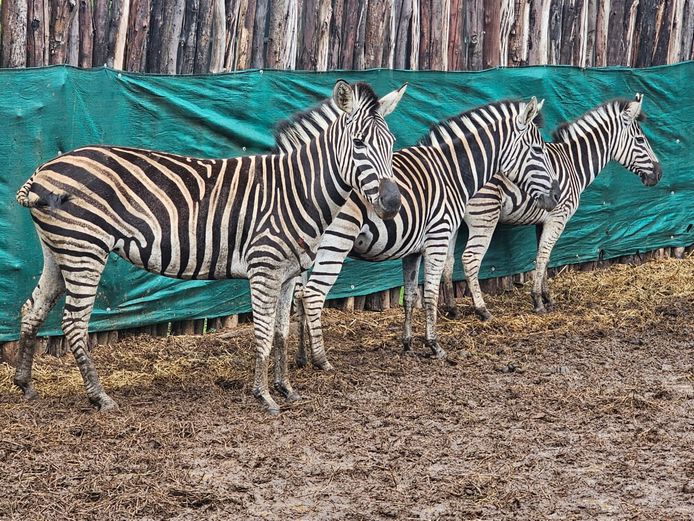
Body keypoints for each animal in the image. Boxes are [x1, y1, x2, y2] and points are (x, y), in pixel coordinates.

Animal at [13, 80, 406, 414]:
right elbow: (263, 335)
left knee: (33, 308)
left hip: (58, 249)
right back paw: (100, 397)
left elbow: (280, 333)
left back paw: (25, 384)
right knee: (73, 321)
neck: (295, 190)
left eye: (391, 143)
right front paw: (264, 396)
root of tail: (44, 169)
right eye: (358, 143)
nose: (392, 203)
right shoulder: (264, 268)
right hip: (85, 249)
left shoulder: (289, 274)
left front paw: (286, 389)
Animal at [277, 96, 560, 369]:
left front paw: (408, 343)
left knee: (299, 297)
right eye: (538, 150)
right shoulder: (438, 238)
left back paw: (302, 358)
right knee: (313, 295)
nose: (557, 194)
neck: (453, 173)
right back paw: (320, 360)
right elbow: (430, 294)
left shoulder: (412, 250)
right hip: (336, 242)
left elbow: (411, 296)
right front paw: (434, 345)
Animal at [441, 94, 661, 321]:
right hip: (485, 215)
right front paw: (538, 301)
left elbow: (544, 257)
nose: (659, 173)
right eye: (640, 140)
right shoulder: (558, 217)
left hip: (454, 218)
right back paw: (482, 309)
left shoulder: (544, 220)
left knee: (448, 261)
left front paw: (547, 297)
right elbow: (543, 256)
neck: (574, 164)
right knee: (470, 259)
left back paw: (452, 308)